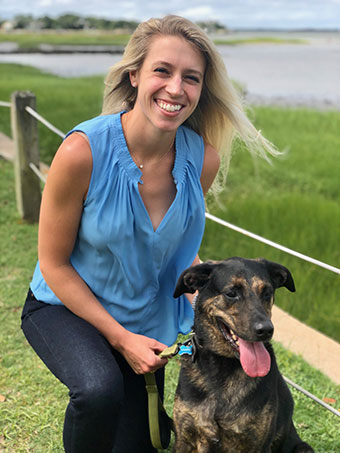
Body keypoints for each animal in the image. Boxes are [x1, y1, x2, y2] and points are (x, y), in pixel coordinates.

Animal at [173, 256, 314, 450]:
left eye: (267, 292)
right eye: (231, 293)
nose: (266, 330)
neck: (223, 367)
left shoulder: (257, 445)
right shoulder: (184, 439)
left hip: (303, 448)